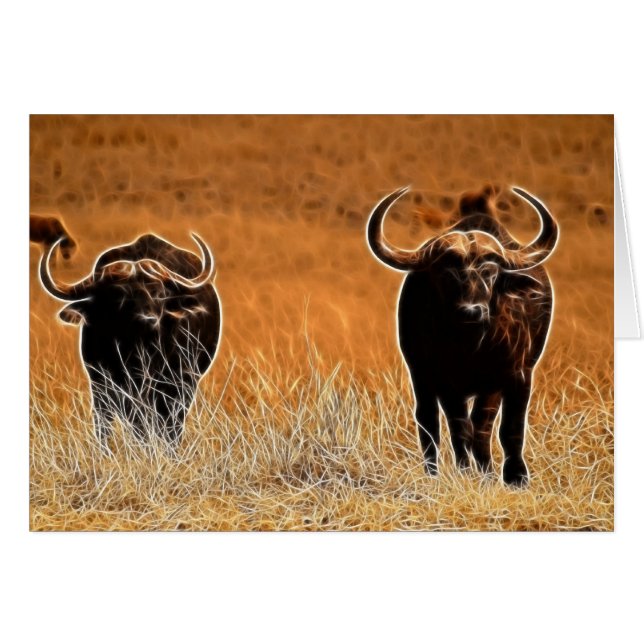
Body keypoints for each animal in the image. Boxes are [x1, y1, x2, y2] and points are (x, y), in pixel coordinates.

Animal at [39, 233, 221, 446]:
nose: (149, 320)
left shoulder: (172, 383)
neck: (132, 353)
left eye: (160, 293)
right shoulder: (100, 384)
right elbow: (107, 426)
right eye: (118, 295)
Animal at [367, 186, 558, 486]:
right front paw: (466, 472)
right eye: (446, 273)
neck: (470, 347)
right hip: (420, 376)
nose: (471, 311)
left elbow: (506, 427)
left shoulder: (515, 374)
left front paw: (512, 477)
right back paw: (433, 472)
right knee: (429, 421)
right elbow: (459, 427)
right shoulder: (445, 380)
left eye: (490, 272)